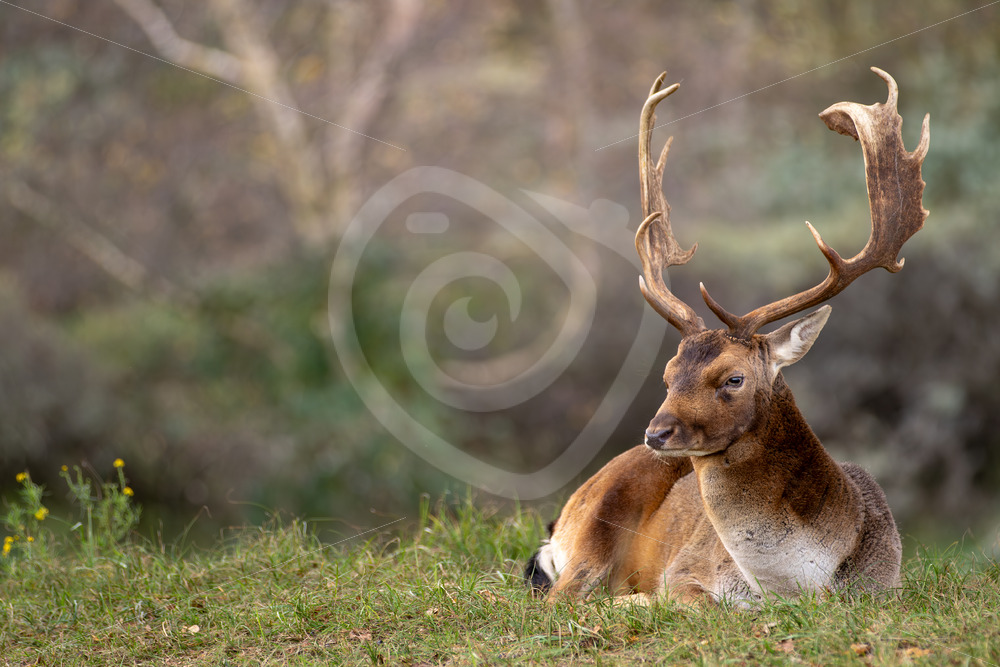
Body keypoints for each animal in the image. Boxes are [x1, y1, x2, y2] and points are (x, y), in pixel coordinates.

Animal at [524, 67, 929, 605]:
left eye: (733, 379)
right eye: (668, 375)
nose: (656, 433)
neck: (792, 585)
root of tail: (561, 518)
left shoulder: (885, 587)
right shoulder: (686, 571)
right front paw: (642, 599)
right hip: (594, 524)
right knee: (560, 596)